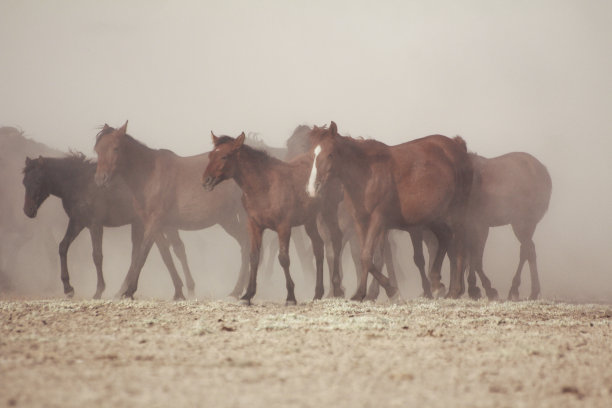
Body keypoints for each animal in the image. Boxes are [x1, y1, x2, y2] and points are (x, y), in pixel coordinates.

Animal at [22, 153, 194, 300]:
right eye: (24, 182)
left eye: (37, 181)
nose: (27, 211)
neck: (78, 183)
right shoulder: (77, 222)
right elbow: (62, 247)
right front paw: (68, 288)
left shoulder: (95, 224)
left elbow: (97, 255)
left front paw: (99, 290)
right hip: (144, 224)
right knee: (150, 251)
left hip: (162, 225)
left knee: (175, 250)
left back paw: (187, 288)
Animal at [92, 122, 249, 298]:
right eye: (97, 149)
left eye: (116, 148)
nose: (100, 179)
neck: (149, 175)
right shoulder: (158, 224)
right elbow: (165, 254)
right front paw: (179, 291)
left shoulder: (155, 222)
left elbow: (142, 252)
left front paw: (129, 290)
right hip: (227, 219)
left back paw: (237, 290)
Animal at [202, 132, 342, 304]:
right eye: (210, 155)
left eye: (224, 156)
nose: (206, 181)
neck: (264, 187)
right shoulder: (254, 225)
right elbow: (254, 257)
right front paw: (248, 295)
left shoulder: (284, 227)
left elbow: (283, 258)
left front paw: (290, 296)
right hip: (309, 220)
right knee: (318, 248)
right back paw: (317, 293)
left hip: (329, 211)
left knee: (336, 240)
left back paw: (337, 290)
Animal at [306, 121, 474, 300]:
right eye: (311, 154)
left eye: (330, 154)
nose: (313, 188)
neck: (366, 176)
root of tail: (457, 145)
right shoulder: (360, 221)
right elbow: (366, 256)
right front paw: (361, 293)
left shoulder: (378, 219)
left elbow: (367, 256)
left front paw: (391, 291)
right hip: (434, 217)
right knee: (445, 237)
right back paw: (437, 283)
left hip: (456, 212)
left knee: (459, 246)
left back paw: (455, 290)